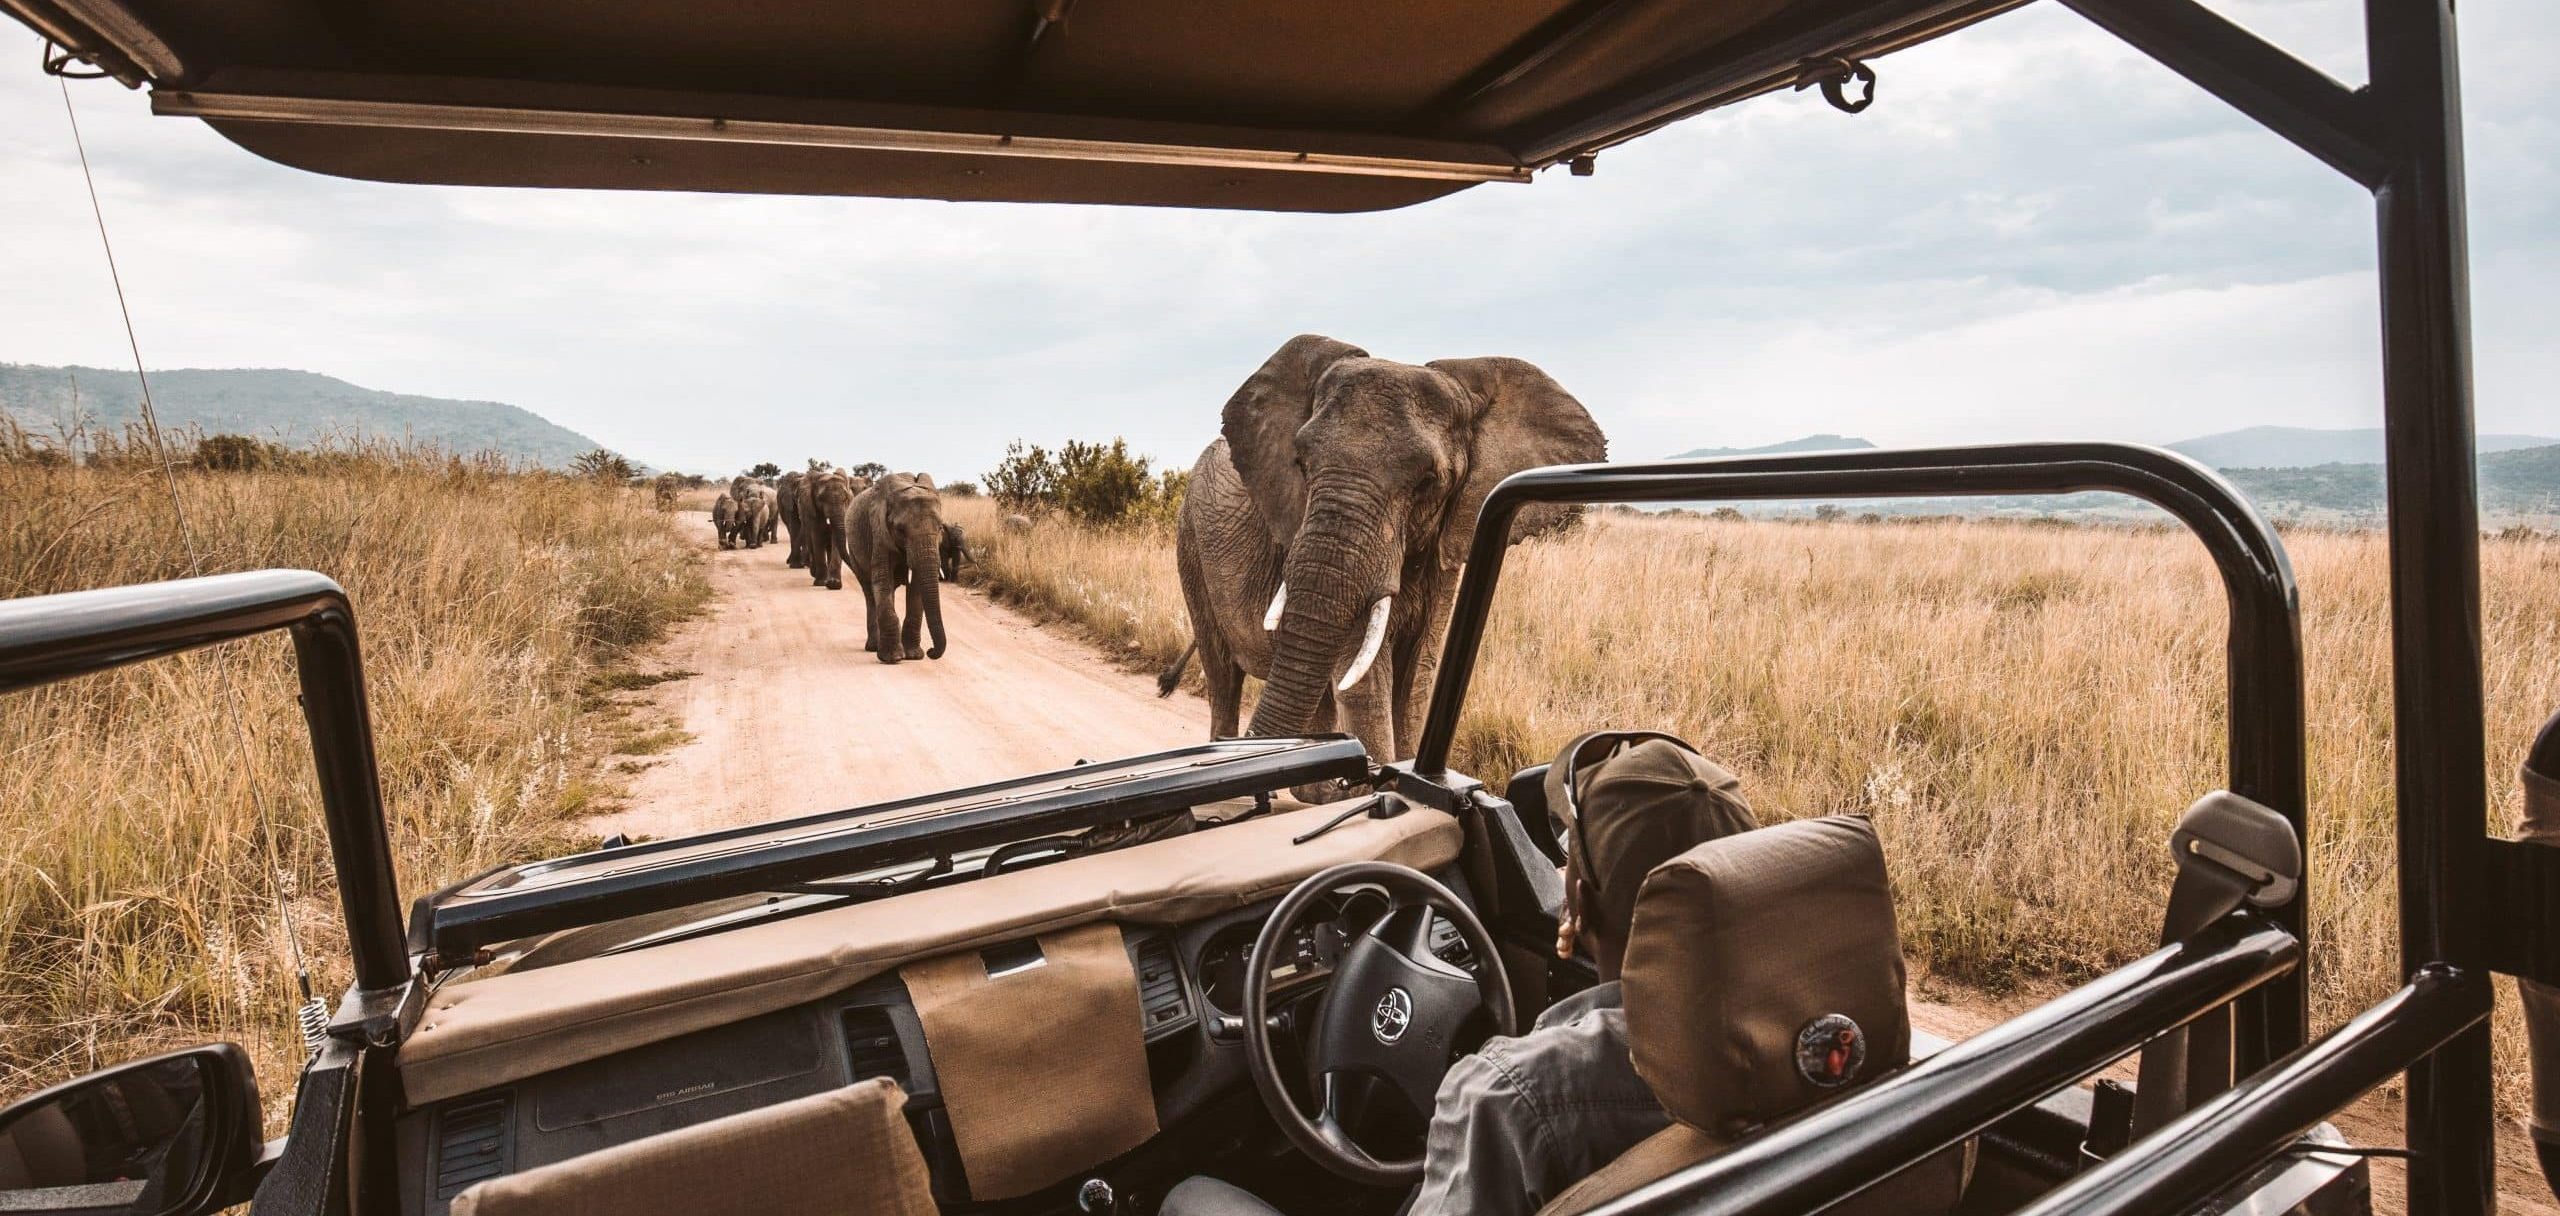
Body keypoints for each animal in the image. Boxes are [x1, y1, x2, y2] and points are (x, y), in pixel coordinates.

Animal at [849, 476, 952, 665]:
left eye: (940, 528)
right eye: (900, 530)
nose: (931, 651)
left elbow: (916, 587)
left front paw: (914, 656)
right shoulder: (879, 533)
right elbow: (882, 580)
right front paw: (892, 658)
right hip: (853, 552)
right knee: (870, 592)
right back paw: (874, 647)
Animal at [1172, 332, 1607, 768]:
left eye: (1429, 481)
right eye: (1300, 463)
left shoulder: (1447, 548)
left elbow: (1416, 683)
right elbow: (1365, 687)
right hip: (1190, 544)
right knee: (1224, 677)